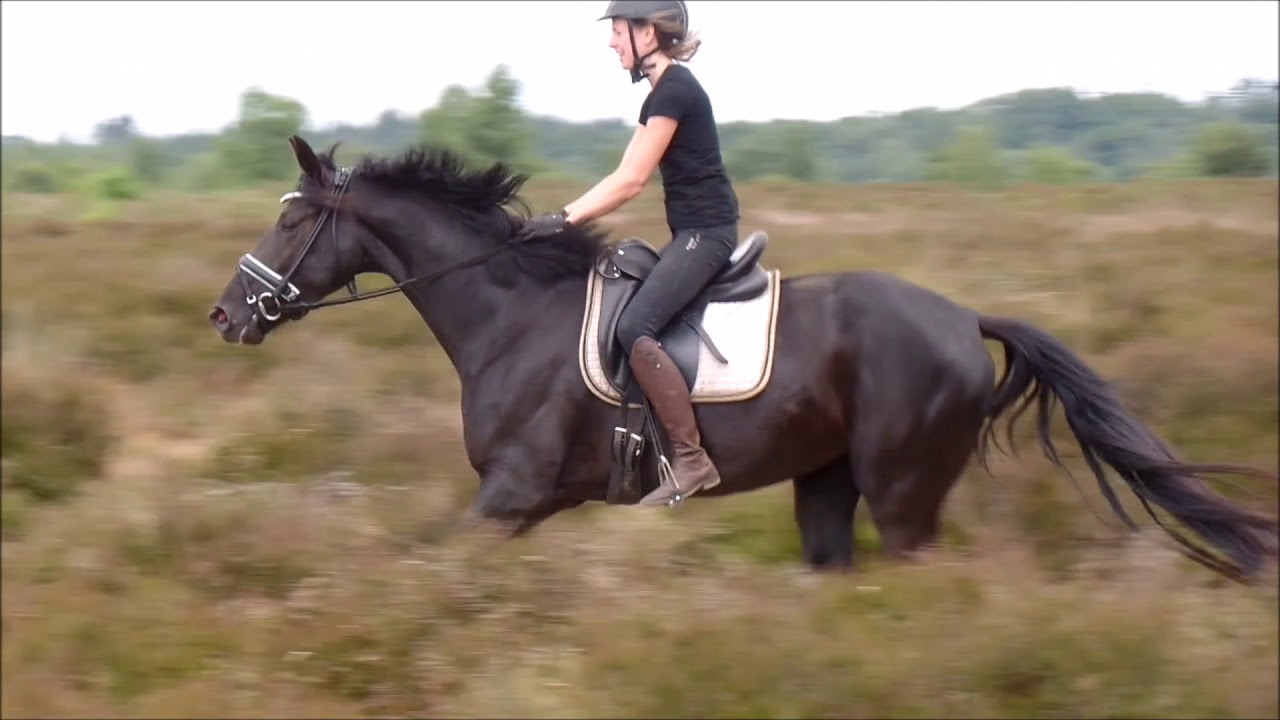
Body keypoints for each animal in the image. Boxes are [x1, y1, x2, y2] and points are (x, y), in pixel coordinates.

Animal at [208, 135, 1278, 584]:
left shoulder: (510, 496)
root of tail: (965, 317)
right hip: (827, 486)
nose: (225, 315)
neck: (507, 316)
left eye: (293, 219)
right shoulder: (525, 508)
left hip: (904, 495)